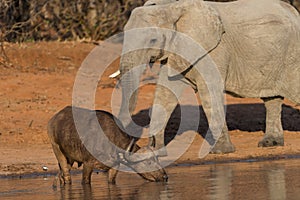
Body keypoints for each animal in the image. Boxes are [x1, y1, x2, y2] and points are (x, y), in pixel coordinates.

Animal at [118, 0, 300, 156]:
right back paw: (270, 143)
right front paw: (155, 152)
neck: (171, 8)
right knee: (272, 100)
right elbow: (165, 93)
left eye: (153, 40)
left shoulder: (214, 50)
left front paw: (221, 151)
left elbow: (208, 92)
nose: (145, 145)